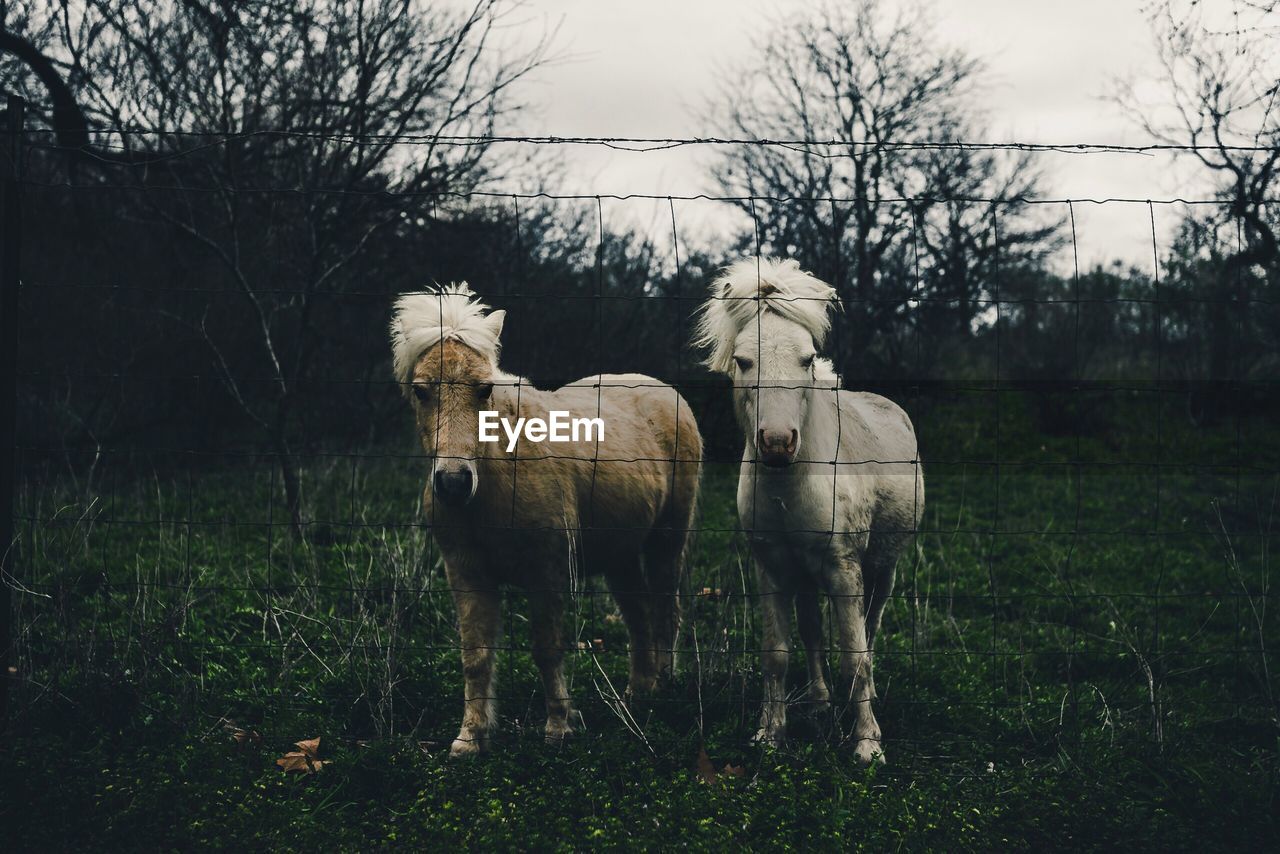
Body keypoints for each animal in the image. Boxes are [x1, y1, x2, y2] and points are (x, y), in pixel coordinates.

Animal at [391, 285, 706, 752]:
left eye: (484, 390)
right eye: (420, 391)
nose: (453, 483)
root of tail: (665, 391)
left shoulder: (547, 569)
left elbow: (547, 648)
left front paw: (558, 727)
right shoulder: (467, 573)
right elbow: (475, 655)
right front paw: (471, 736)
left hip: (667, 538)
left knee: (666, 607)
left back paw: (663, 686)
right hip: (621, 552)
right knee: (638, 614)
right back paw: (639, 691)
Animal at [696, 256, 926, 763]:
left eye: (806, 359)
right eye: (744, 361)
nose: (778, 443)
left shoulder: (845, 568)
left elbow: (855, 655)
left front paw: (867, 744)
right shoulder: (771, 566)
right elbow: (778, 652)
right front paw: (771, 733)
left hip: (882, 568)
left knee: (871, 624)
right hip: (803, 573)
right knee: (812, 630)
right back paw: (819, 702)